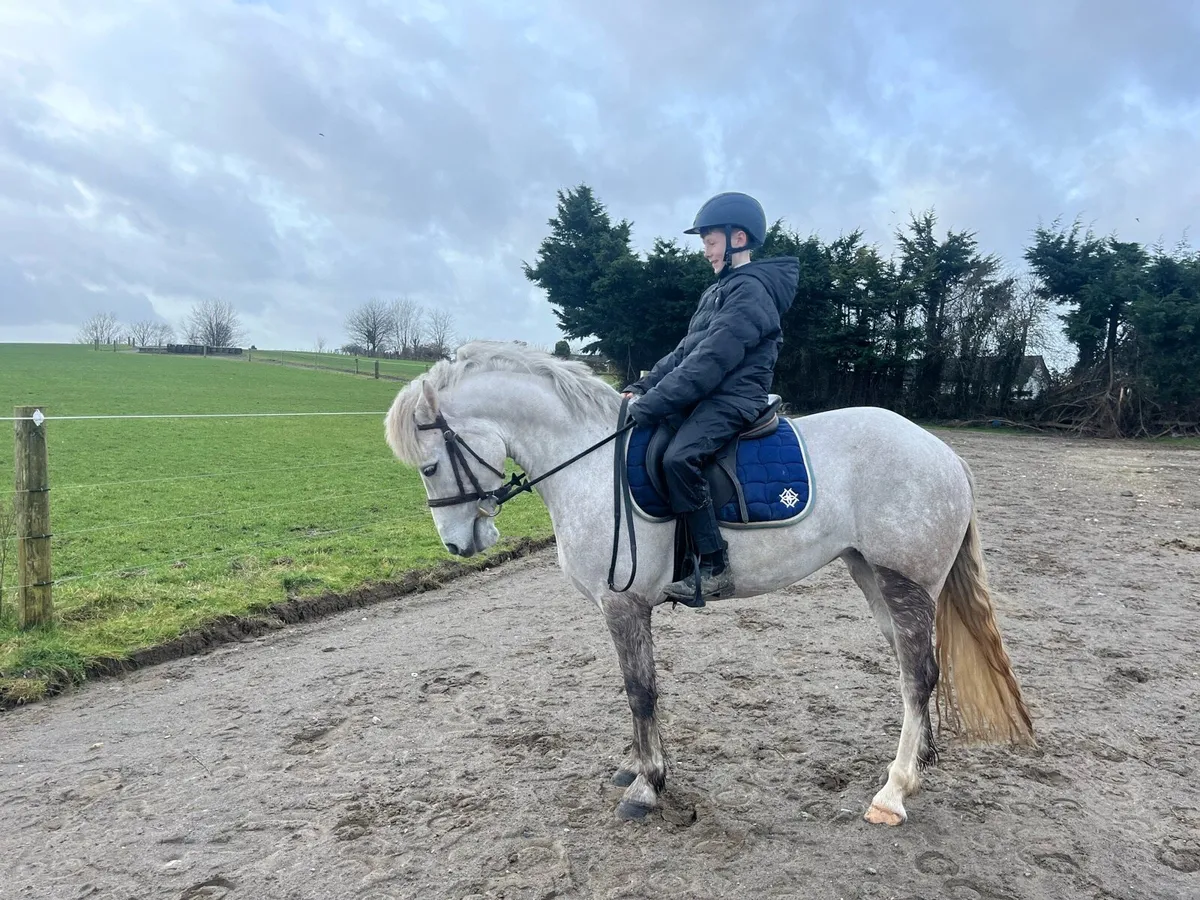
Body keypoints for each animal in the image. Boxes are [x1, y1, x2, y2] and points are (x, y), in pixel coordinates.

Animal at [383, 340, 1035, 826]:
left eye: (430, 464)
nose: (457, 545)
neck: (589, 464)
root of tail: (944, 454)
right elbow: (638, 691)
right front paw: (637, 768)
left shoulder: (623, 604)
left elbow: (639, 691)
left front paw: (648, 786)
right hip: (874, 576)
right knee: (913, 670)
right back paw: (919, 764)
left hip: (903, 582)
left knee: (918, 675)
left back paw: (894, 792)